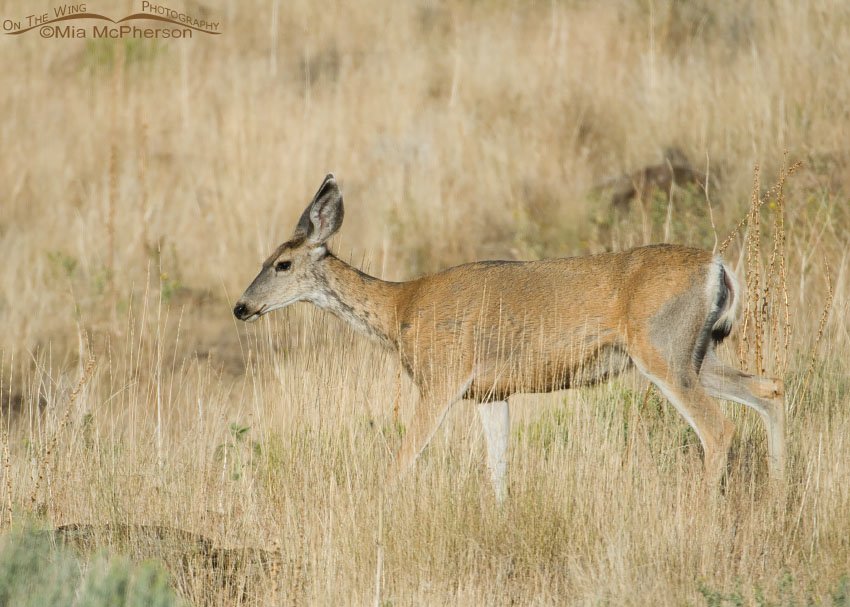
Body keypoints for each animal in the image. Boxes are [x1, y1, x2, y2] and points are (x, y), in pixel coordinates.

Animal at [233, 174, 786, 501]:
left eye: (282, 264)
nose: (241, 307)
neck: (400, 310)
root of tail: (718, 268)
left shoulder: (441, 378)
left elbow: (403, 457)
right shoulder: (491, 393)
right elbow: (497, 469)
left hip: (663, 349)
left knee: (719, 429)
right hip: (697, 352)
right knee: (769, 389)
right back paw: (781, 494)